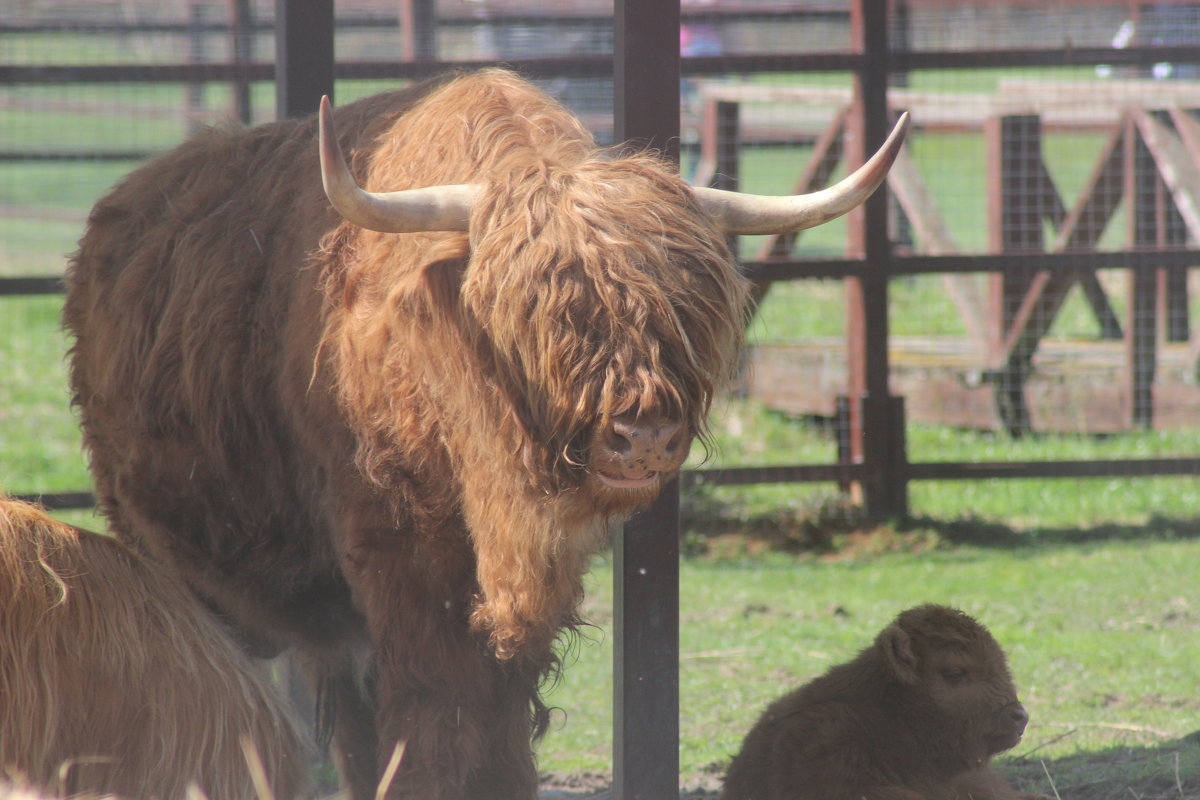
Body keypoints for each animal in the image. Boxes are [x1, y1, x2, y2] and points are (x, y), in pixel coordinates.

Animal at [63, 68, 907, 800]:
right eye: (547, 315)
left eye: (685, 310)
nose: (644, 439)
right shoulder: (398, 555)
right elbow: (435, 705)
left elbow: (494, 711)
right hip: (173, 559)